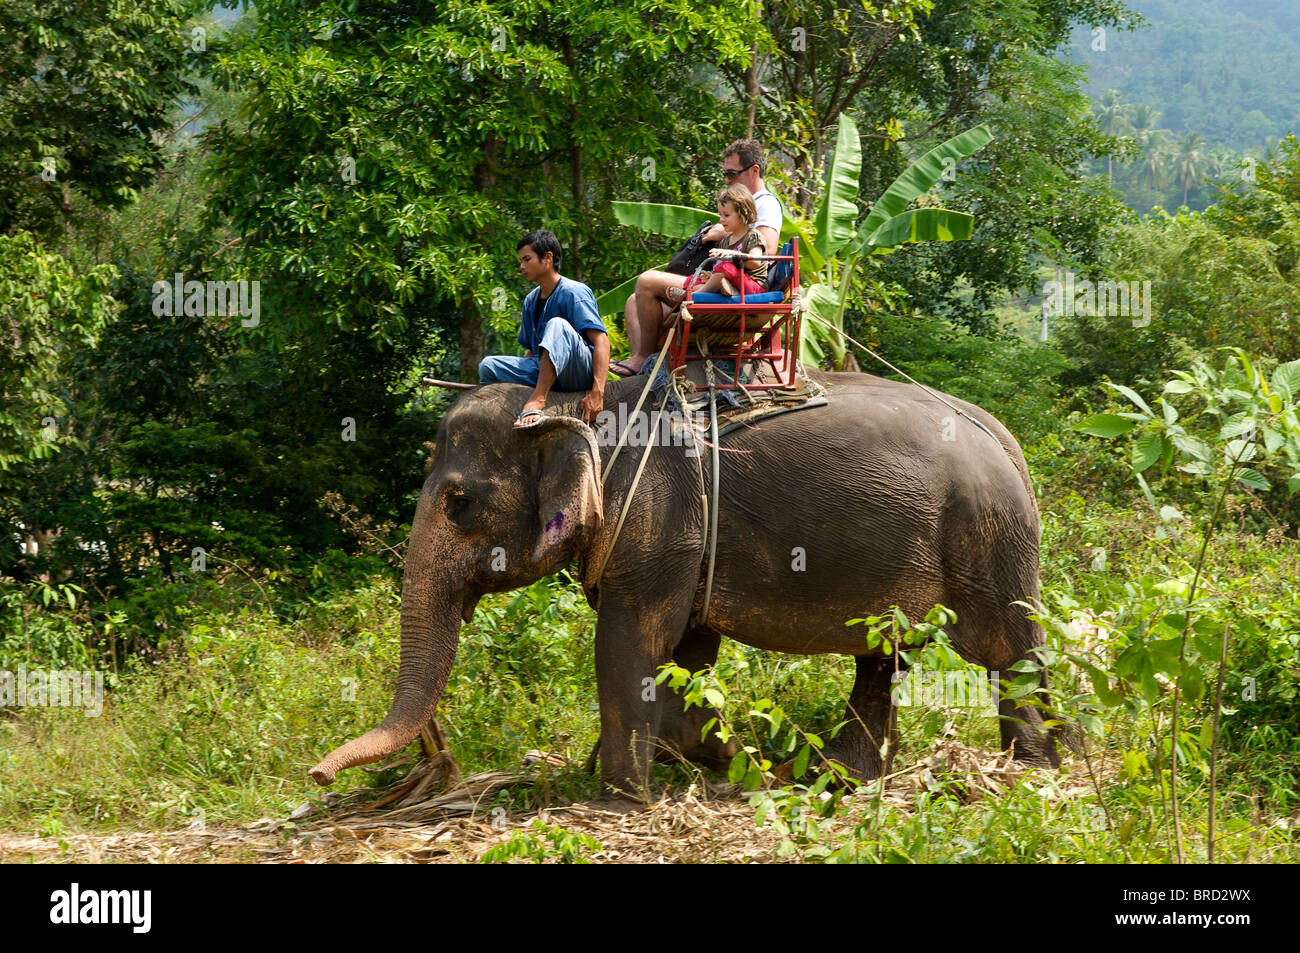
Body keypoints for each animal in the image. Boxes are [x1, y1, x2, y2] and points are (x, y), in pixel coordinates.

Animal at [309, 371, 1060, 795]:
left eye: (459, 502)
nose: (317, 773)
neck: (576, 405)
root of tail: (1006, 438)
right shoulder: (681, 543)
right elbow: (688, 653)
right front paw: (718, 757)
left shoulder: (659, 519)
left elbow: (631, 642)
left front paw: (621, 796)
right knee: (883, 655)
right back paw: (835, 776)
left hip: (984, 532)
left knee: (1004, 648)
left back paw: (1034, 770)